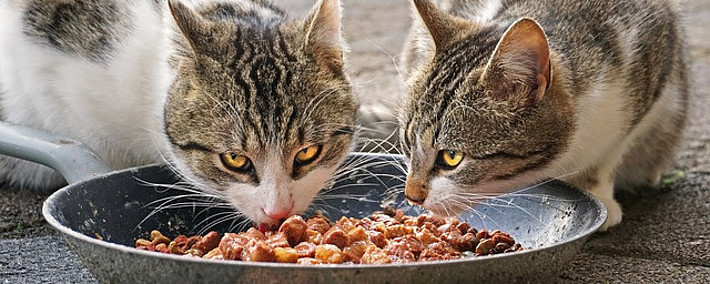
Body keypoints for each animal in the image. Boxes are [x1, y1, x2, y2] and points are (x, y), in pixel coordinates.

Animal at [400, 0, 688, 230]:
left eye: (452, 157)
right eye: (407, 142)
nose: (411, 195)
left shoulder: (655, 59)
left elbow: (610, 152)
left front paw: (598, 192)